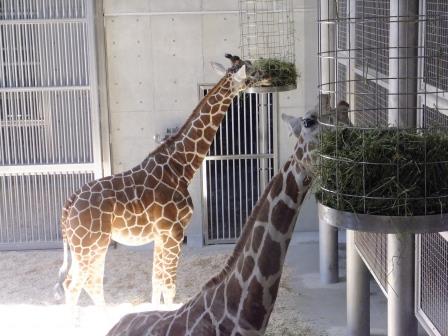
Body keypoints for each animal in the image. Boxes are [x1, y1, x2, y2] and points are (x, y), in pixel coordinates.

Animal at [55, 54, 272, 308]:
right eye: (253, 72)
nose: (269, 76)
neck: (180, 167)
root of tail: (68, 204)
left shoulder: (160, 235)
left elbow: (156, 282)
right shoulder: (173, 232)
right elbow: (169, 287)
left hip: (91, 245)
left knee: (91, 282)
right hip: (89, 244)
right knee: (74, 284)